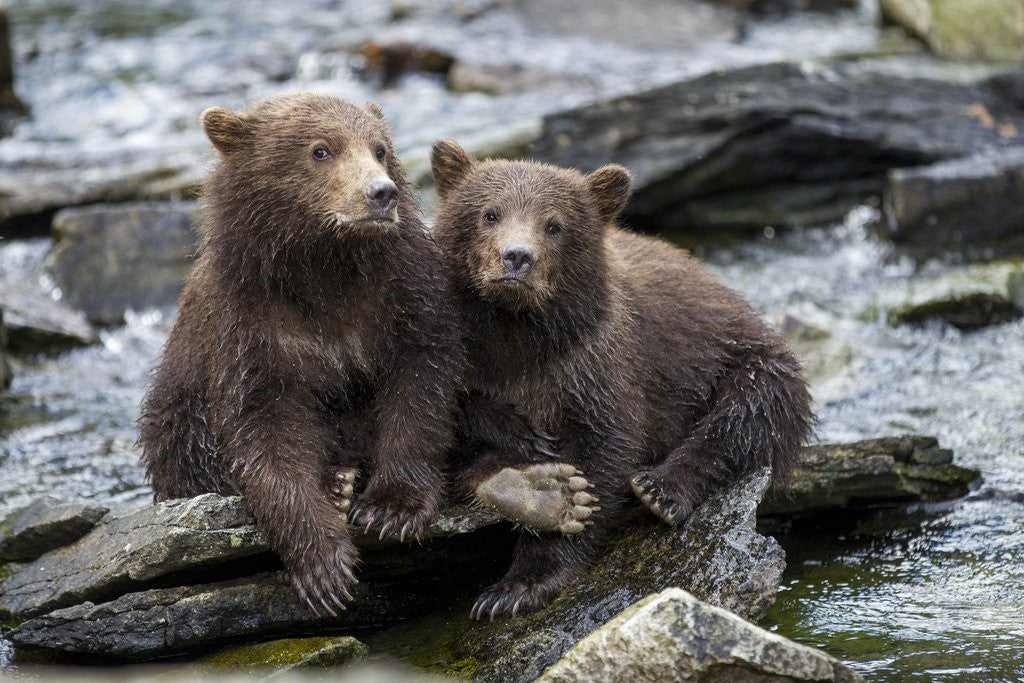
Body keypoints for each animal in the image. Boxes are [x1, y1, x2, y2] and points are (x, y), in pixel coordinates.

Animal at [138, 93, 467, 616]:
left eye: (379, 149)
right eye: (321, 150)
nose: (382, 193)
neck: (322, 265)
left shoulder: (403, 292)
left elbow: (421, 381)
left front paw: (392, 508)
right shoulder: (251, 326)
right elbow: (262, 430)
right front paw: (324, 568)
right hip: (176, 408)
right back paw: (336, 479)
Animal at [431, 140, 814, 620]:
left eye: (554, 225)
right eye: (490, 213)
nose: (517, 257)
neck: (515, 334)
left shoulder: (596, 365)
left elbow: (603, 450)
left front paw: (521, 580)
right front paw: (526, 447)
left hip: (742, 356)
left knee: (749, 409)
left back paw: (660, 489)